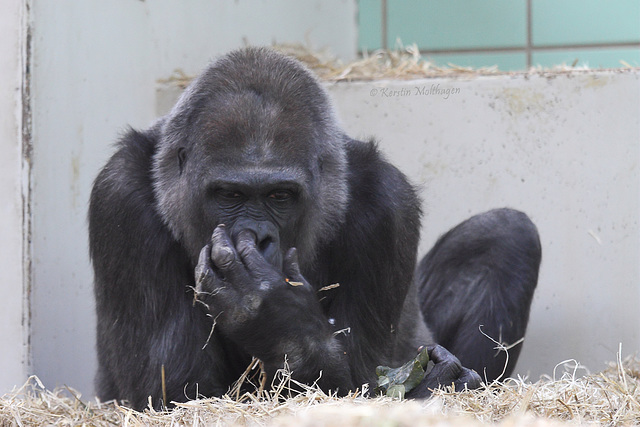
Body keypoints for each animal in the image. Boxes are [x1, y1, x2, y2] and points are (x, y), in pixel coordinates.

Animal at [89, 47, 540, 412]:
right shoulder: (120, 197)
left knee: (506, 234)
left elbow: (362, 384)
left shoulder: (388, 204)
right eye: (229, 194)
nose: (259, 238)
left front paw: (275, 316)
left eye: (281, 196)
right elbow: (175, 393)